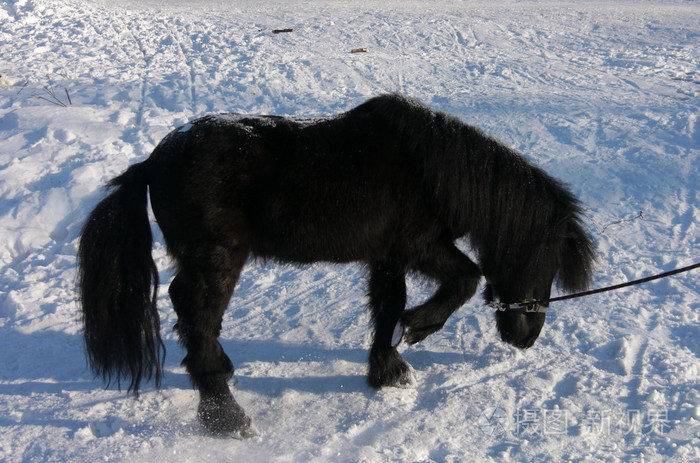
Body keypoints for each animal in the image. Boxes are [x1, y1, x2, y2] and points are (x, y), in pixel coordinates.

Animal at [78, 94, 595, 437]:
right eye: (548, 262)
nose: (527, 337)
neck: (431, 170)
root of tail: (151, 163)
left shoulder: (388, 254)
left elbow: (388, 306)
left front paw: (386, 369)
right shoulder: (421, 245)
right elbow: (465, 280)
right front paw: (419, 328)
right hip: (218, 260)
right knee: (196, 315)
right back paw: (224, 413)